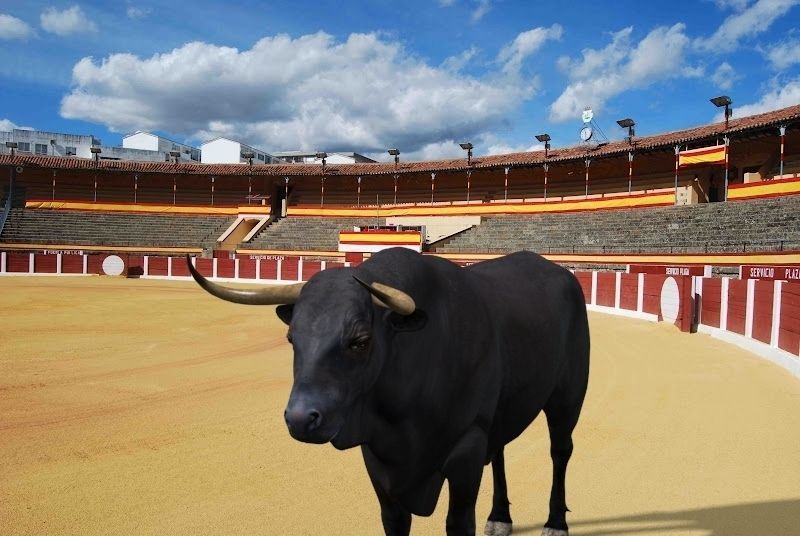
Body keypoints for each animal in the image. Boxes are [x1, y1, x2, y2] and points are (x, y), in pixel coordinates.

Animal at [188, 247, 590, 536]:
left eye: (360, 341)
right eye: (291, 338)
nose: (301, 419)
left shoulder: (468, 444)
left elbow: (458, 523)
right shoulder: (380, 460)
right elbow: (394, 520)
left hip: (568, 395)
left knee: (560, 451)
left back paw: (556, 523)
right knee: (502, 451)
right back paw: (500, 517)